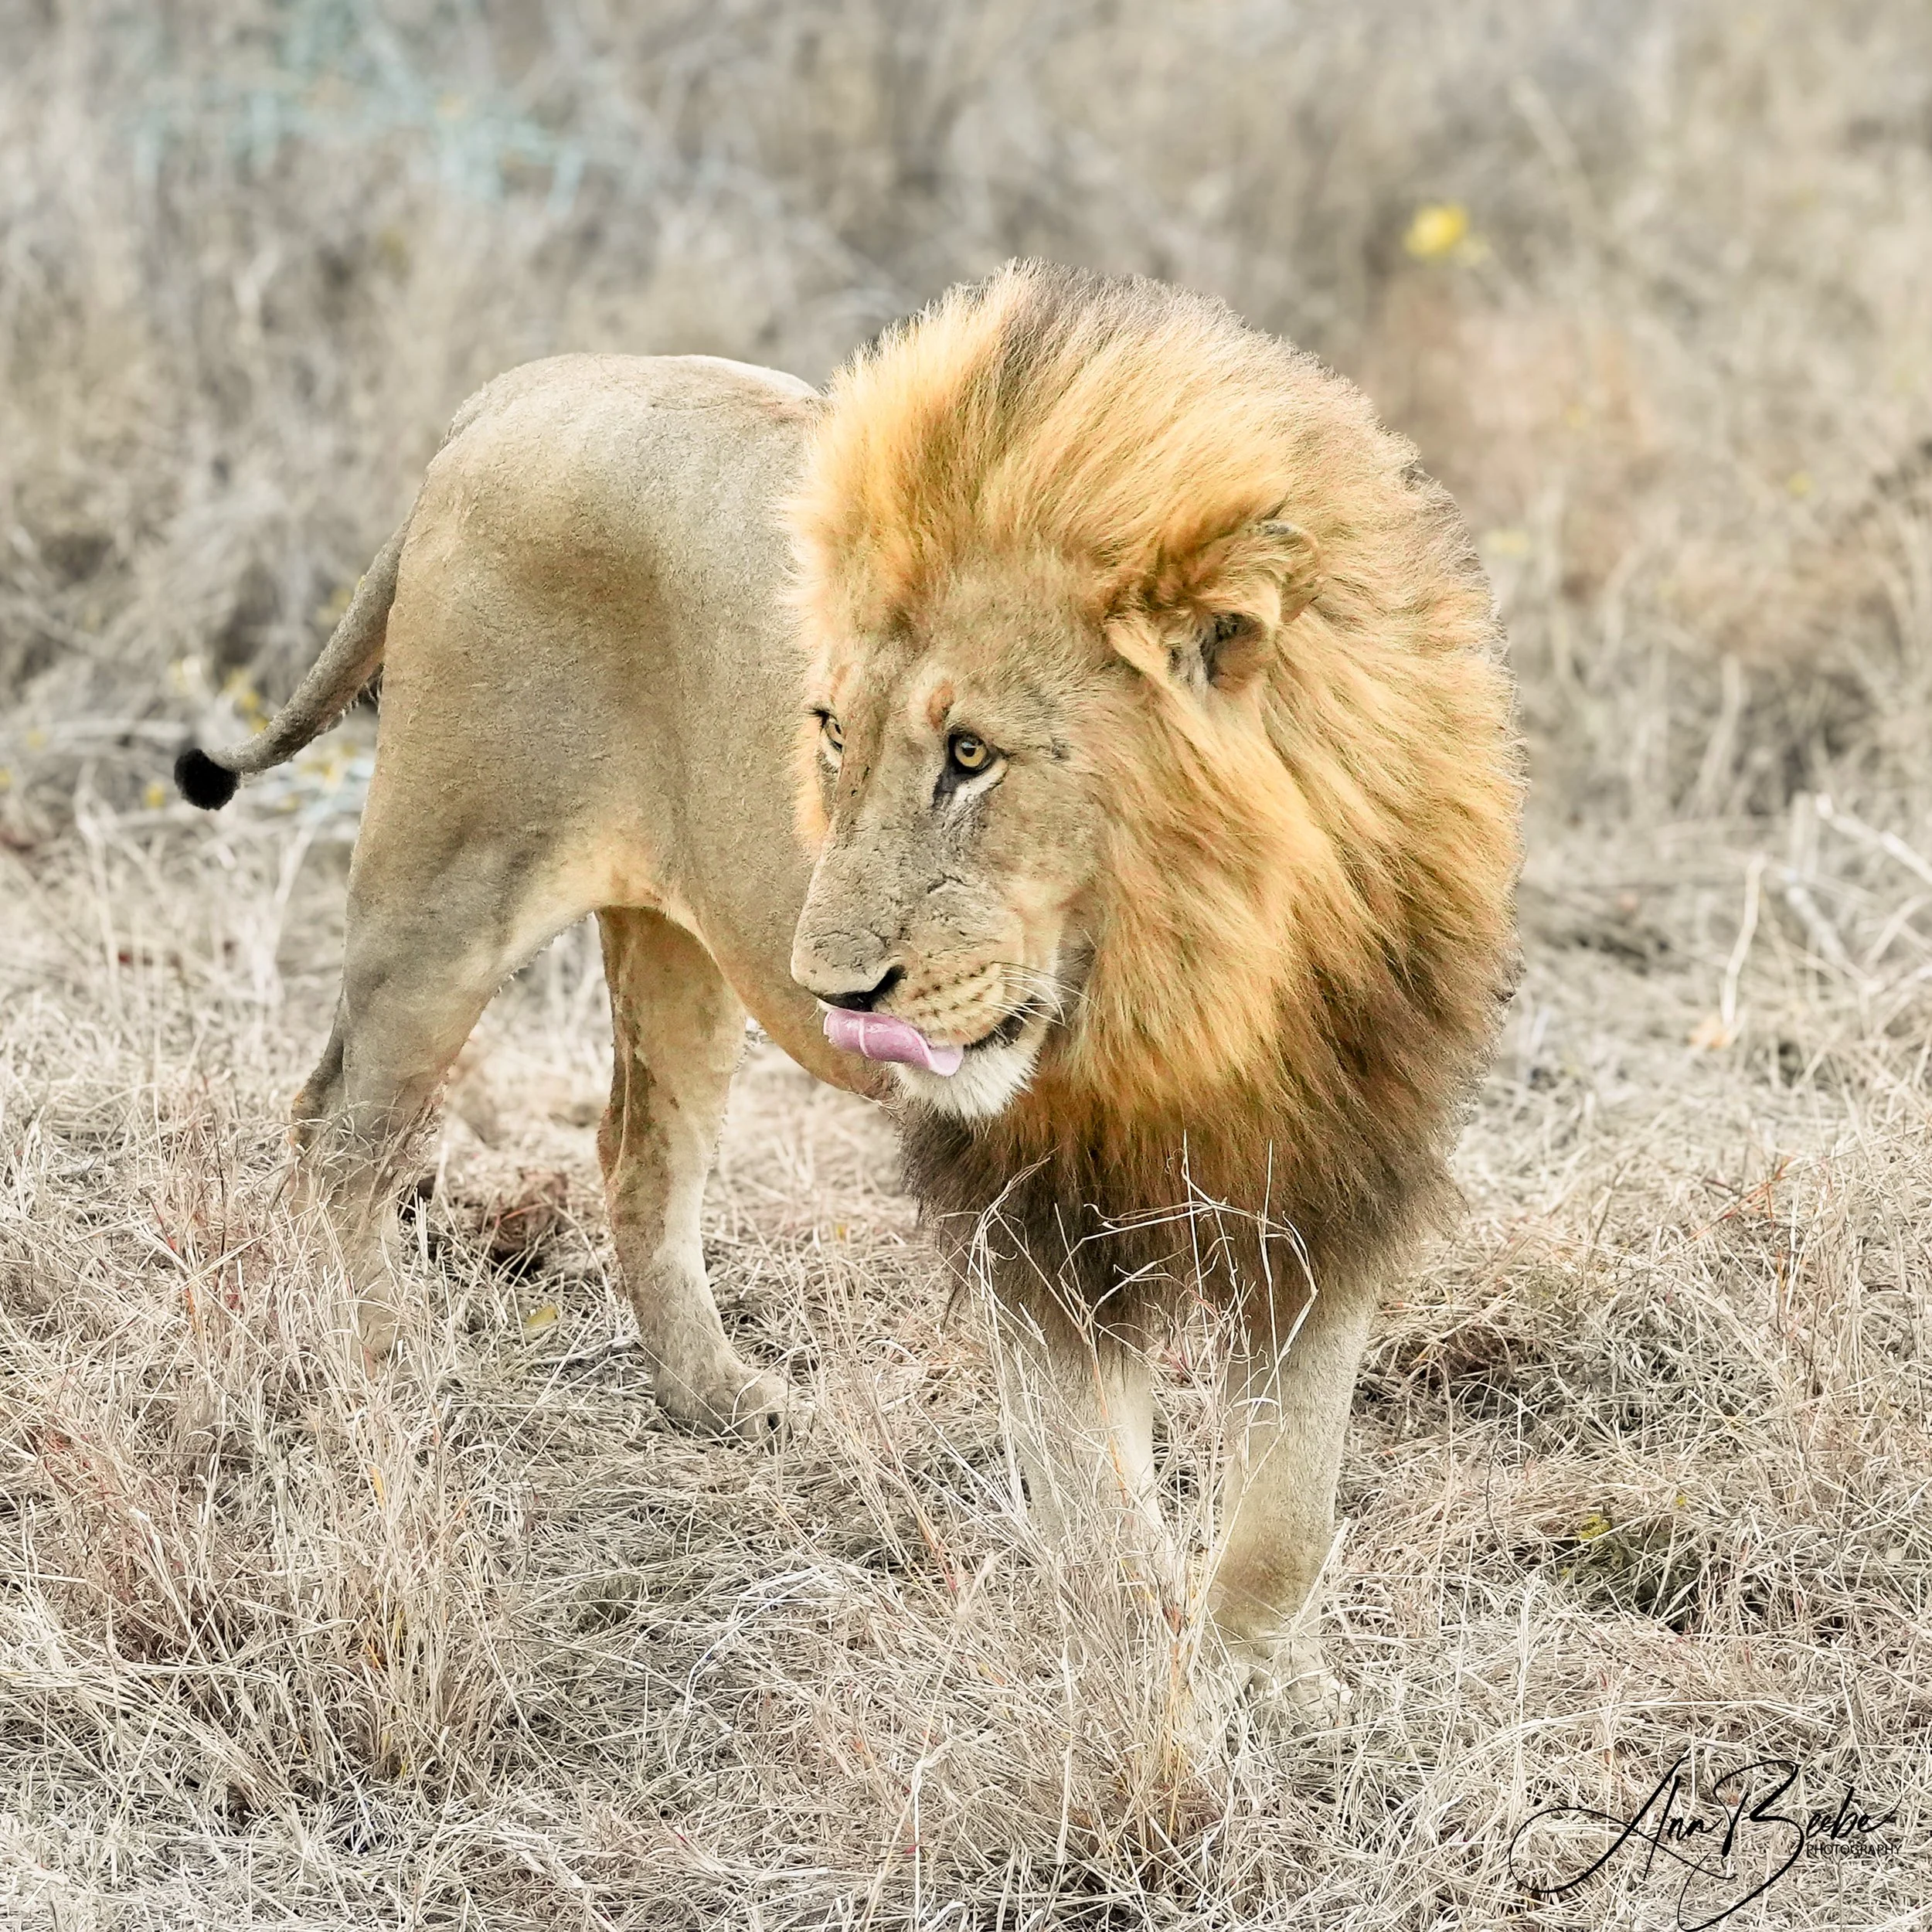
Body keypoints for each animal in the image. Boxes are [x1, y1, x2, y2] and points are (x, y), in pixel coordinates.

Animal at [176, 262, 1521, 1717]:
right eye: (832, 734)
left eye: (972, 755)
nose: (835, 988)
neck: (1199, 981)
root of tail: (515, 393)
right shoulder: (1033, 1203)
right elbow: (1098, 1505)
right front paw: (1138, 1696)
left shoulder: (1336, 1171)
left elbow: (1292, 1496)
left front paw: (1273, 1686)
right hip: (445, 895)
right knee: (339, 1135)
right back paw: (373, 1373)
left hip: (680, 951)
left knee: (638, 1153)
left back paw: (718, 1398)